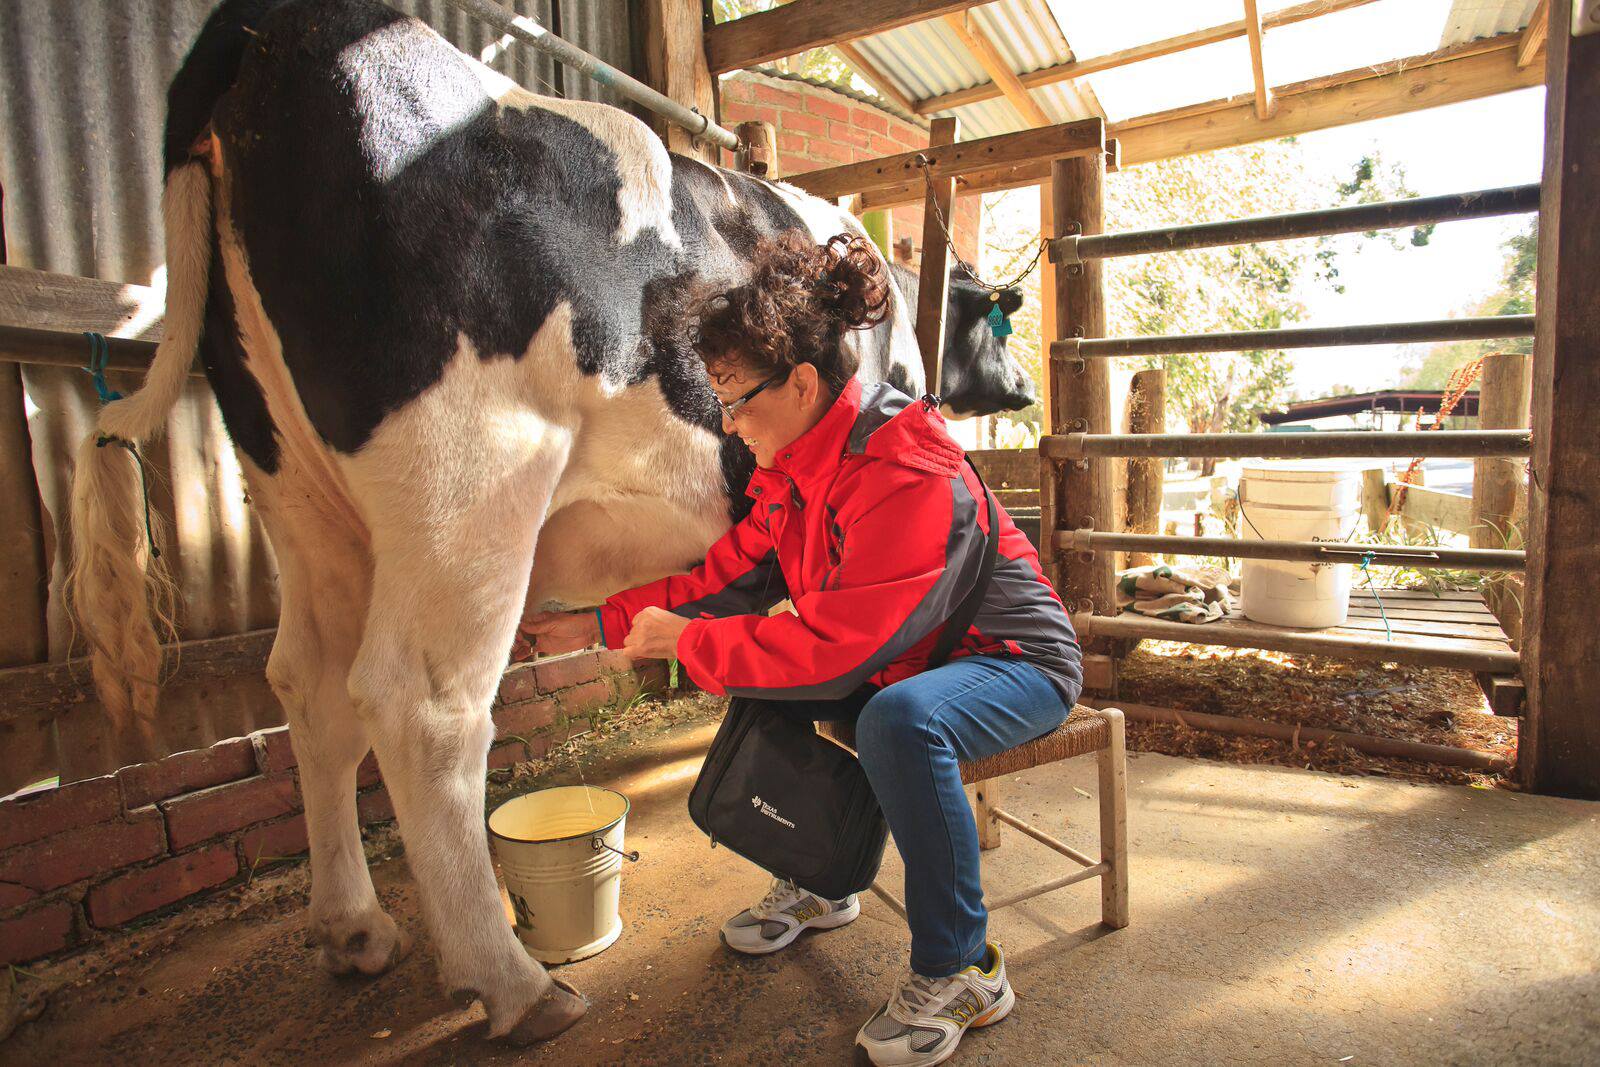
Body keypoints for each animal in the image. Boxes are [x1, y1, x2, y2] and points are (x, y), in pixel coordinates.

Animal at [68, 0, 1024, 1049]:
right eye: (1001, 320)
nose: (1022, 388)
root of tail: (277, 25)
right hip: (471, 478)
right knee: (420, 706)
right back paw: (515, 984)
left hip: (296, 488)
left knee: (309, 686)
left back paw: (354, 929)